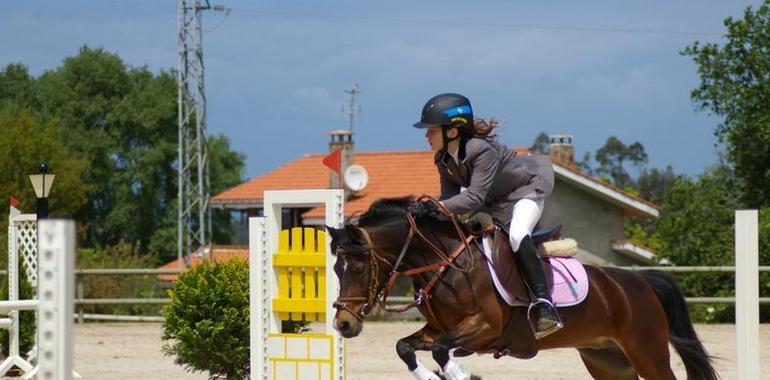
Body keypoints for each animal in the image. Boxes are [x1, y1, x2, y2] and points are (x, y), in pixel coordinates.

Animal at [328, 197, 716, 378]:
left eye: (358, 267)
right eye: (335, 268)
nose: (343, 324)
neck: (447, 265)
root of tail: (639, 282)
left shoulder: (483, 328)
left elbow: (440, 350)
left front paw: (459, 373)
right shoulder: (438, 328)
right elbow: (404, 347)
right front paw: (432, 375)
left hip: (648, 353)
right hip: (608, 361)